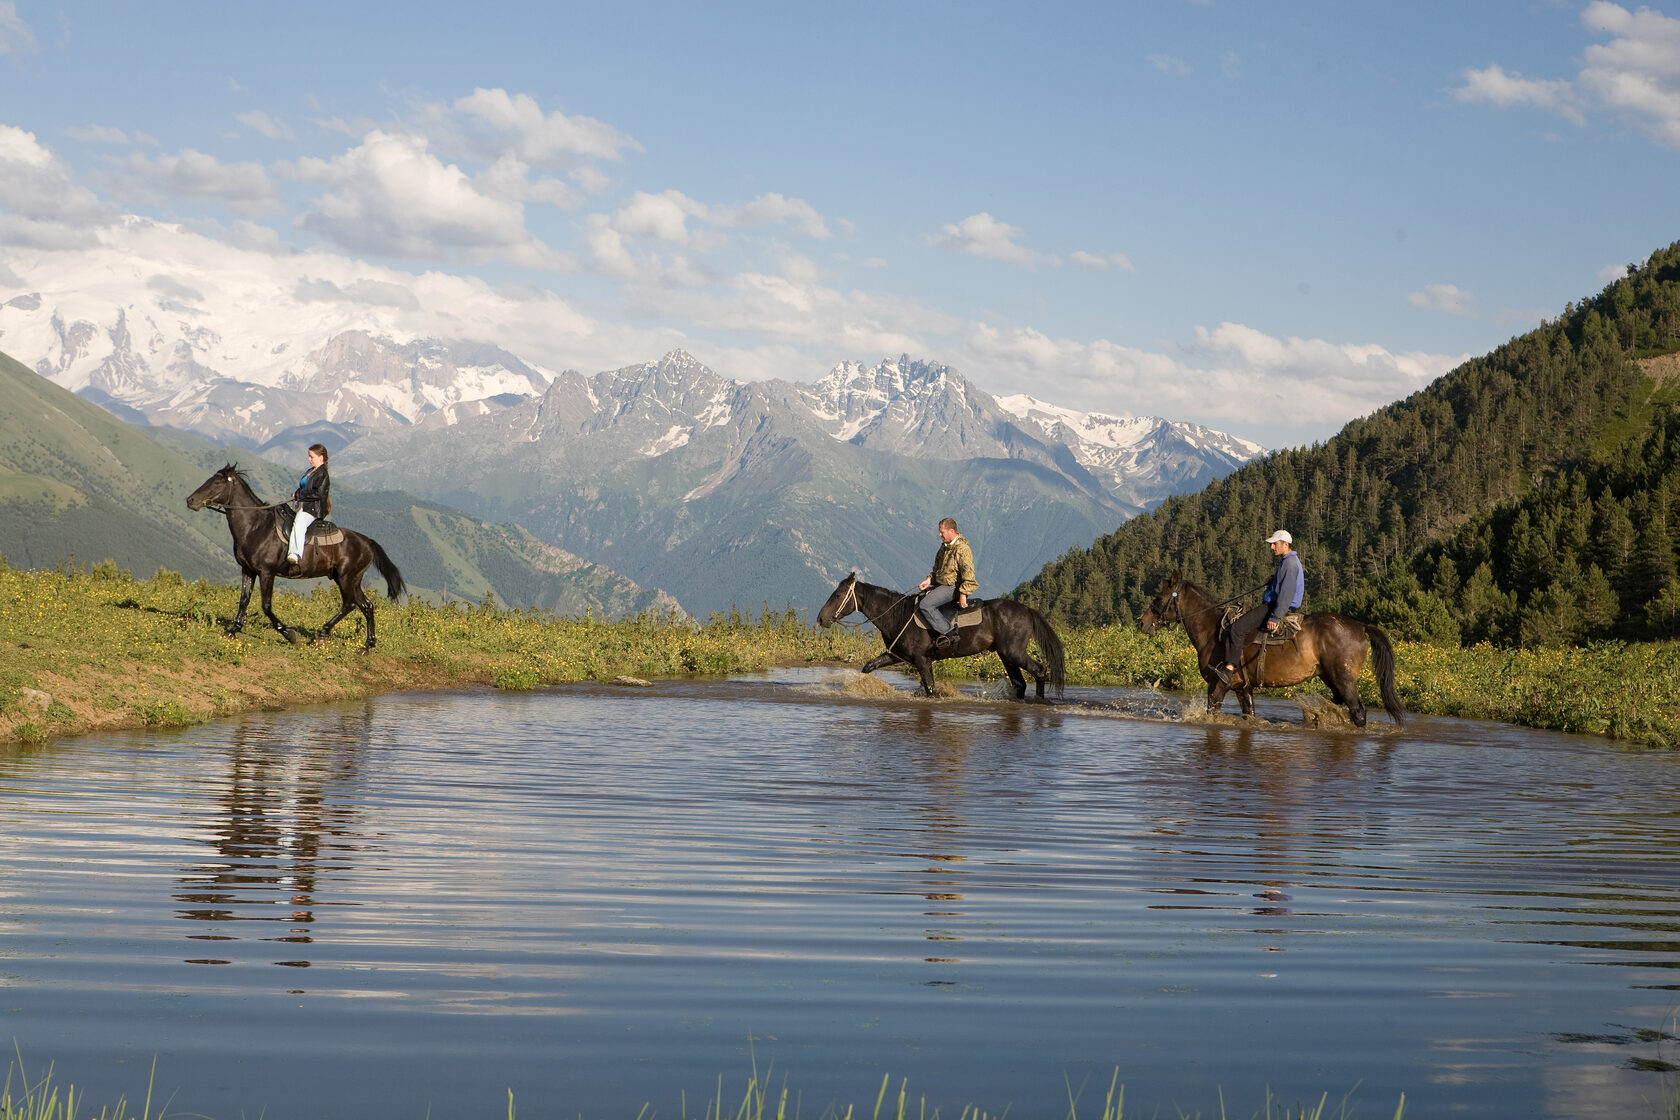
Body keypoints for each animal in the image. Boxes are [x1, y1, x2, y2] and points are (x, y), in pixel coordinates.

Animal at [188, 466, 406, 658]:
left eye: (217, 482)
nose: (191, 500)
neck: (256, 526)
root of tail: (367, 542)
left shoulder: (266, 572)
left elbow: (266, 606)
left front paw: (288, 634)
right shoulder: (248, 570)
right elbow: (243, 600)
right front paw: (233, 630)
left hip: (346, 579)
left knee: (350, 604)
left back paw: (323, 634)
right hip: (350, 580)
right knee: (366, 606)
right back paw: (366, 646)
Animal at [813, 570, 1061, 701]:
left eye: (837, 595)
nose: (821, 619)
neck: (898, 615)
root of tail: (1027, 610)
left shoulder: (922, 661)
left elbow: (930, 689)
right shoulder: (896, 656)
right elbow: (868, 666)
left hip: (1014, 652)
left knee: (1039, 671)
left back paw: (1039, 701)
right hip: (1006, 656)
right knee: (1019, 683)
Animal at [1142, 574, 1404, 732]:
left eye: (1158, 597)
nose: (1143, 622)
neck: (1213, 631)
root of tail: (1361, 626)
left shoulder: (1218, 685)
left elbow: (1212, 713)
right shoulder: (1242, 688)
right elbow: (1249, 714)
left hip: (1344, 679)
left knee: (1357, 712)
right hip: (1330, 678)